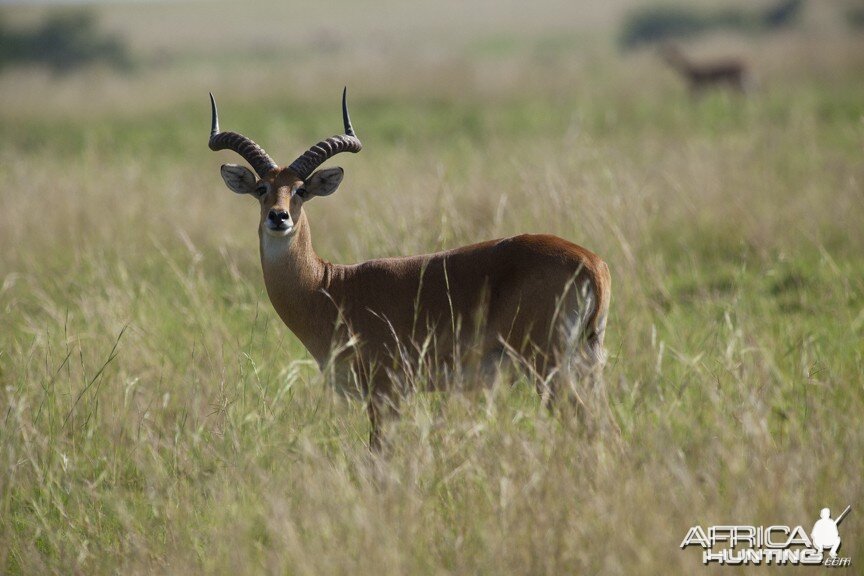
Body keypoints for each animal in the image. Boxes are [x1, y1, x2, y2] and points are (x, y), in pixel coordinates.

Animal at [208, 89, 612, 450]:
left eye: (301, 190)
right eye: (262, 188)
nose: (279, 217)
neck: (329, 286)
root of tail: (593, 262)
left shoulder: (385, 390)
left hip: (548, 367)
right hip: (585, 364)